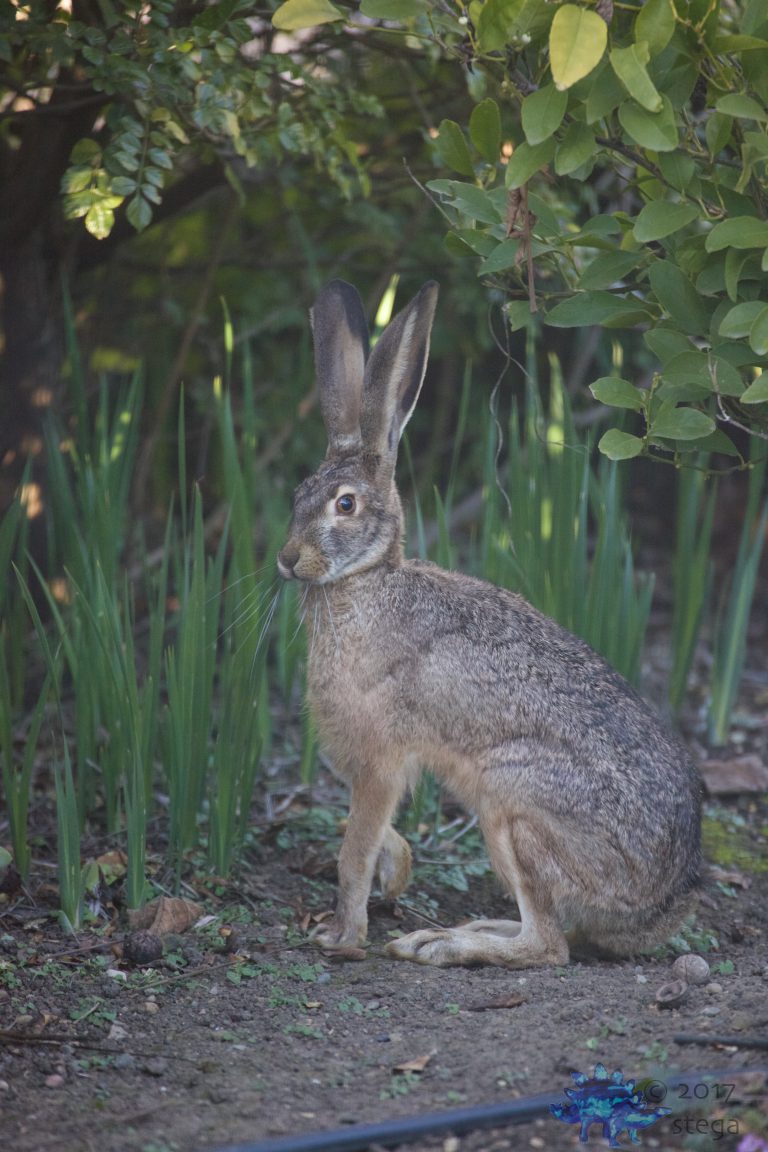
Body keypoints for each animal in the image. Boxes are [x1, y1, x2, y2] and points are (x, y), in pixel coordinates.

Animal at [277, 279, 703, 969]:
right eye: (298, 496)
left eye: (345, 505)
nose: (288, 560)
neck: (366, 580)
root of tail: (663, 908)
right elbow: (373, 833)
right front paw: (399, 872)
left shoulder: (380, 758)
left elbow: (353, 850)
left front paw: (342, 937)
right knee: (561, 933)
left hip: (513, 805)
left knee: (549, 945)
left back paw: (440, 946)